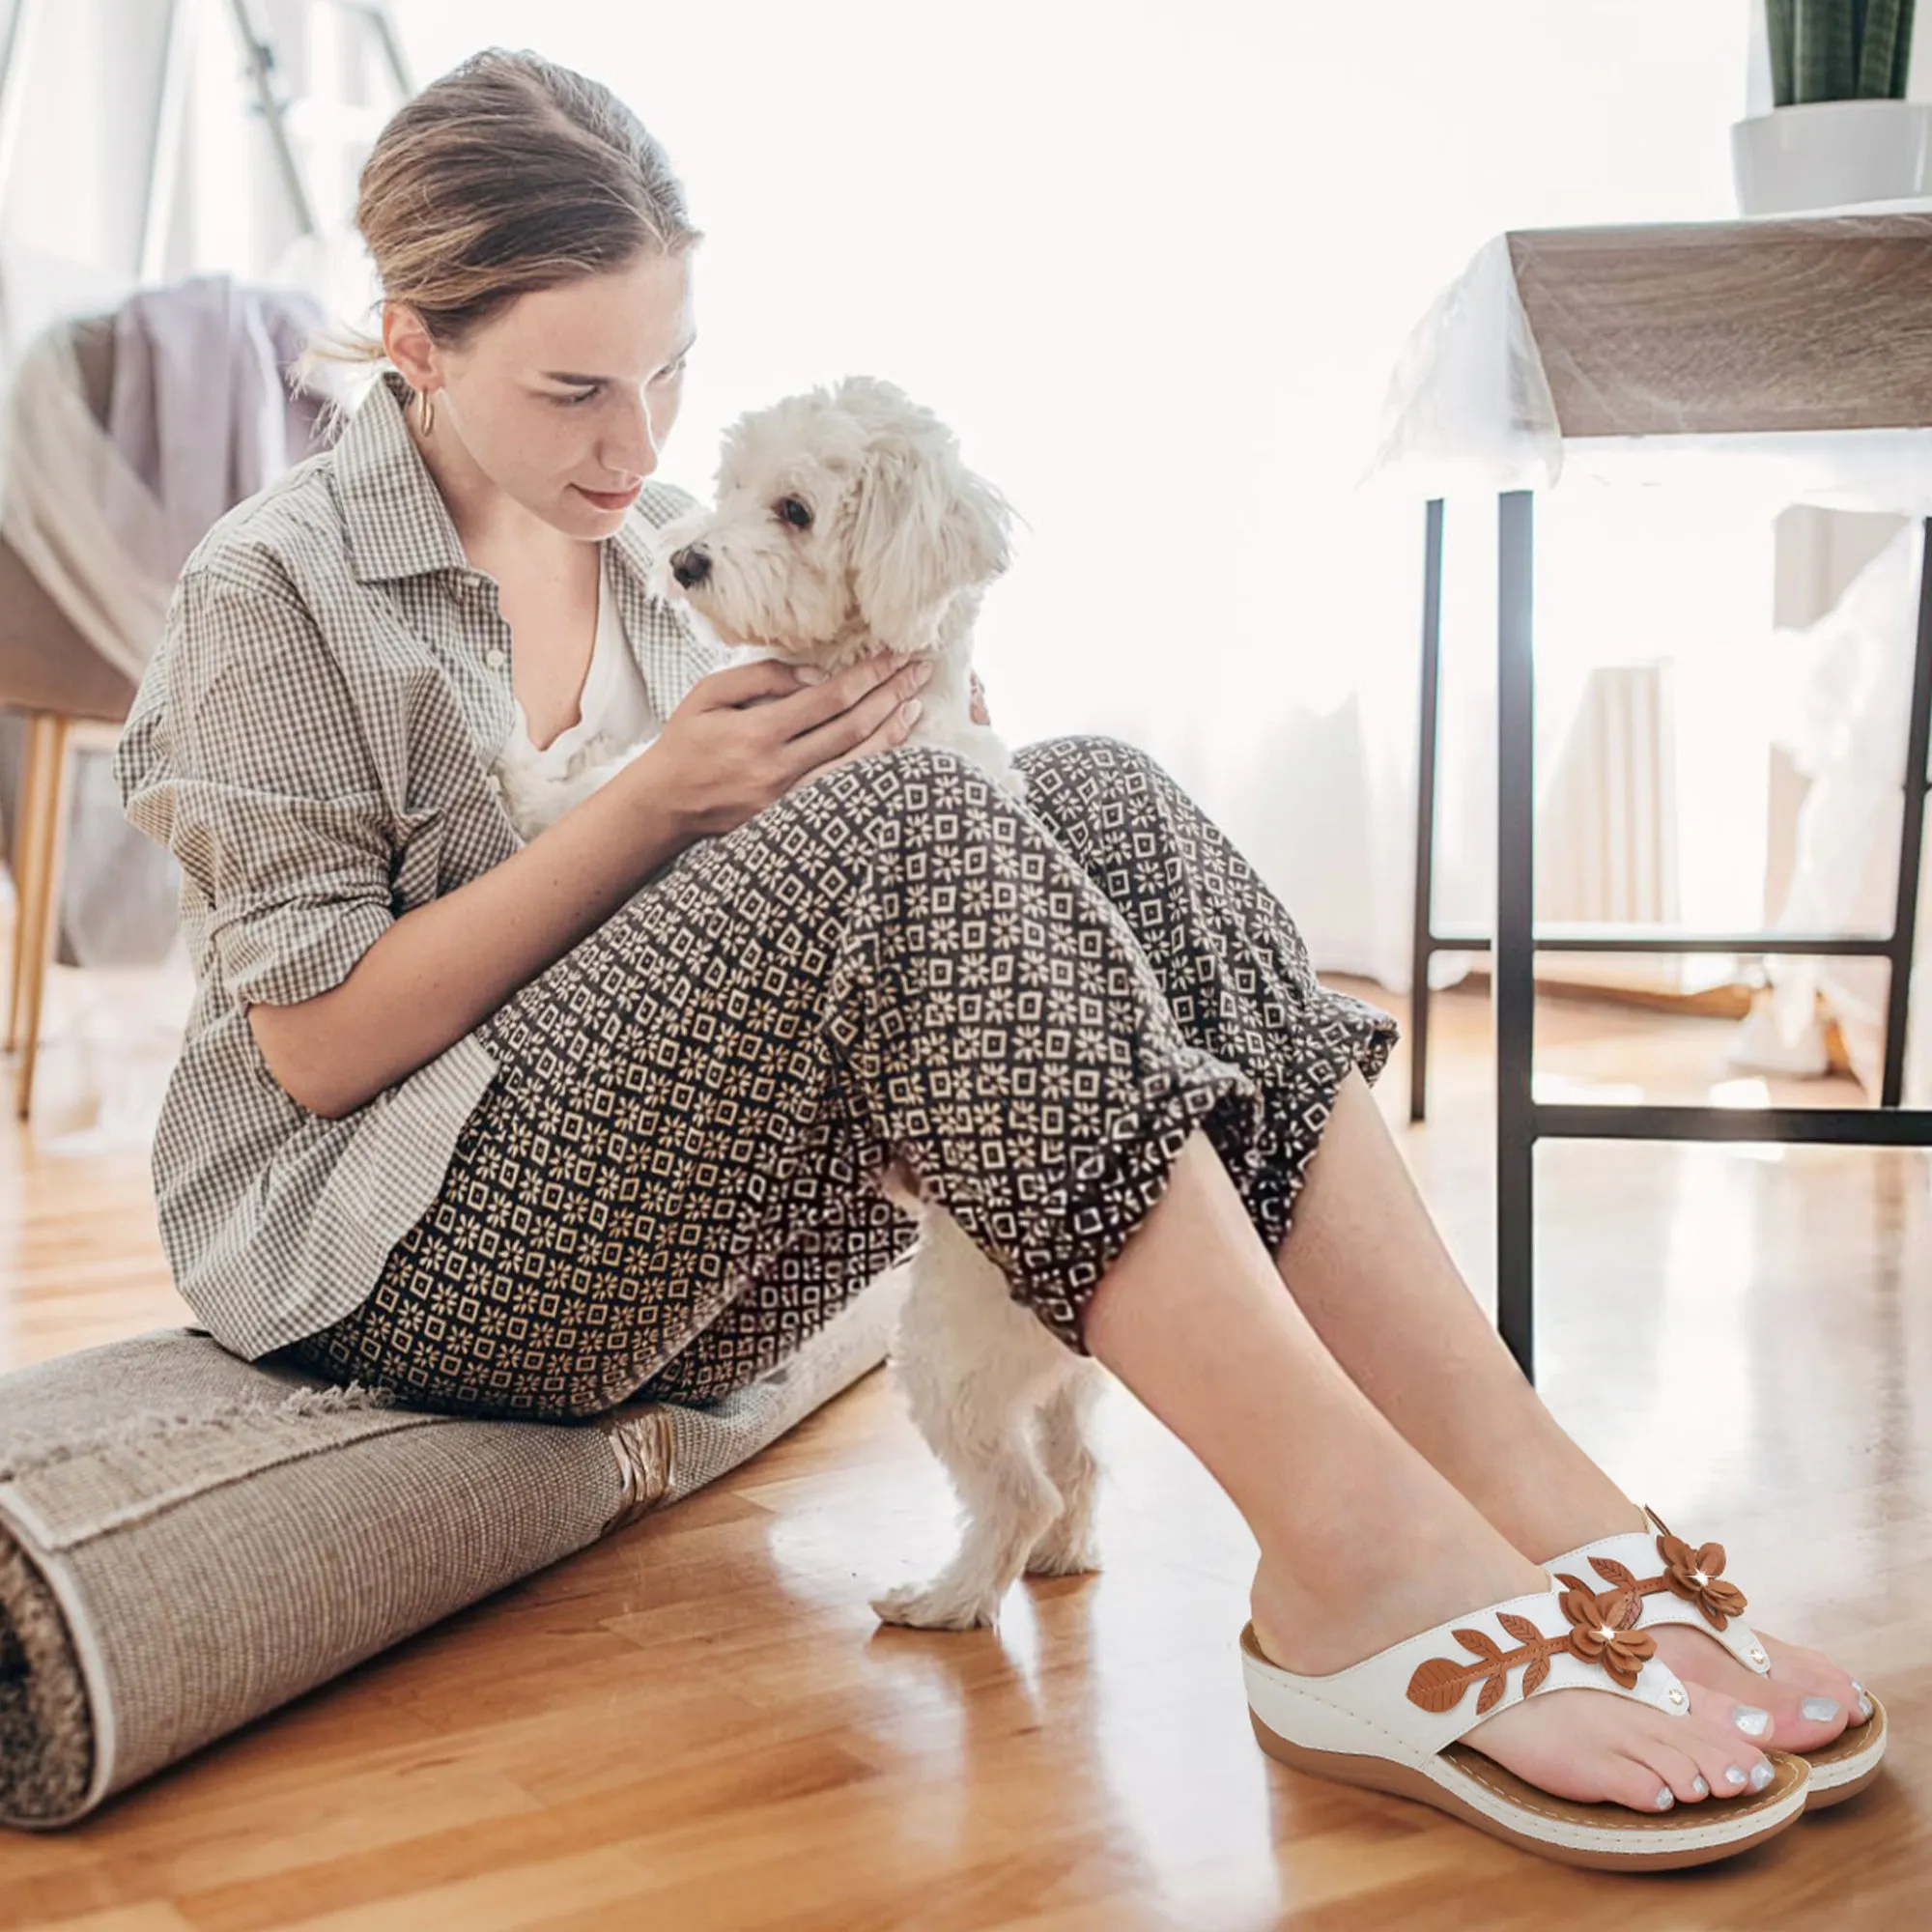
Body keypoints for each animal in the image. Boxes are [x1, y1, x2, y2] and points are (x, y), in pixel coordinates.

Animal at [645, 377, 1105, 1631]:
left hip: (949, 1353)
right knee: (1078, 1464)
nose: (685, 558)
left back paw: (945, 1599)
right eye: (730, 483)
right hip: (1046, 1378)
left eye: (795, 510)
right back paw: (1064, 1556)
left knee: (1017, 1490)